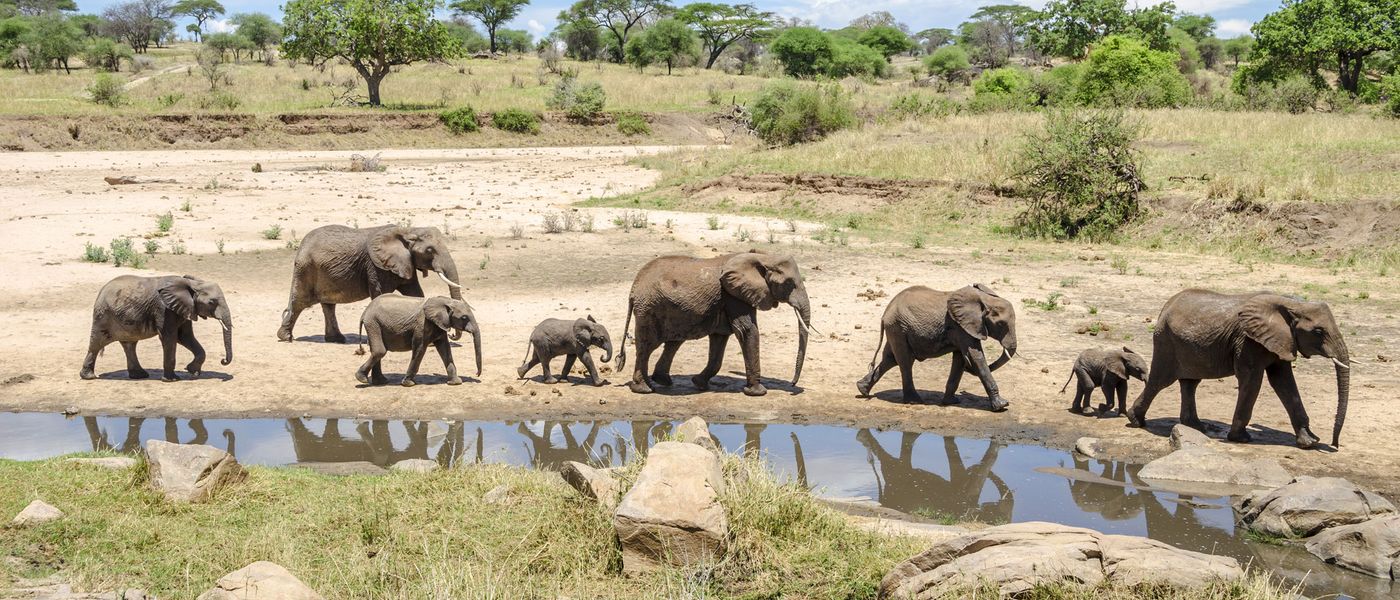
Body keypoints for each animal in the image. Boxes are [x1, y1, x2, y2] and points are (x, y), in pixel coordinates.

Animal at [80, 274, 233, 382]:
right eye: (212, 302)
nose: (223, 361)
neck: (192, 284)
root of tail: (100, 291)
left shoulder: (185, 308)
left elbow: (184, 336)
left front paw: (192, 371)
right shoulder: (164, 309)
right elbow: (169, 337)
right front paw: (172, 380)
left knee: (129, 345)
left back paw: (140, 375)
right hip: (103, 316)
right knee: (96, 344)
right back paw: (89, 377)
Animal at [277, 225, 463, 343]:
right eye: (430, 250)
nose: (452, 335)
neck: (407, 230)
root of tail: (301, 246)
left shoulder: (404, 262)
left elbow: (415, 294)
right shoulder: (377, 267)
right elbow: (381, 294)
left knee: (328, 305)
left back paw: (337, 339)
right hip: (306, 269)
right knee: (299, 302)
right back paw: (286, 338)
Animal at [617, 251, 813, 397]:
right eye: (789, 283)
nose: (792, 384)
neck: (762, 256)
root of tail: (633, 289)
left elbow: (720, 338)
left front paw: (699, 384)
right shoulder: (734, 295)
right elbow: (747, 331)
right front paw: (757, 392)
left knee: (673, 342)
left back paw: (662, 381)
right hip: (649, 309)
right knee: (647, 346)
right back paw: (644, 389)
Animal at [856, 284, 1017, 410]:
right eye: (1001, 324)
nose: (964, 392)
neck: (985, 299)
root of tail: (885, 314)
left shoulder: (962, 328)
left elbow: (960, 358)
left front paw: (951, 402)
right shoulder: (960, 326)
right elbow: (975, 357)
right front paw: (1002, 406)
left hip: (896, 329)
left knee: (890, 359)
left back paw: (862, 389)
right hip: (898, 328)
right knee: (905, 362)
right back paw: (914, 401)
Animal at [1126, 289, 1351, 449]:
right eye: (1319, 331)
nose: (1335, 444)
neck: (1290, 303)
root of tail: (1166, 306)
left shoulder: (1281, 340)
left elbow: (1284, 381)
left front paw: (1310, 442)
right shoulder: (1248, 341)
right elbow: (1252, 379)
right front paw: (1240, 439)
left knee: (1190, 383)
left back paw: (1197, 427)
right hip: (1165, 341)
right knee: (1160, 381)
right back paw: (1136, 420)